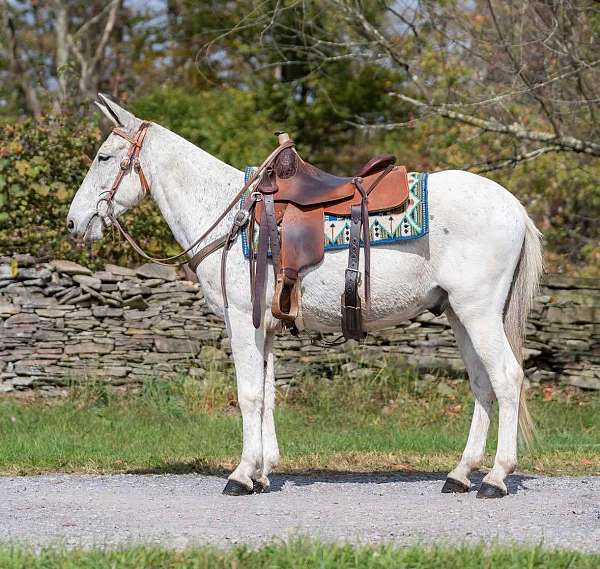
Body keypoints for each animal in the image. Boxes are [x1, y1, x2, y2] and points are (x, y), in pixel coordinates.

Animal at [68, 96, 540, 496]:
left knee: (506, 377)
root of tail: (515, 207)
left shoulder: (242, 321)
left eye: (103, 157)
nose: (74, 222)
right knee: (482, 383)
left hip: (478, 313)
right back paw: (460, 474)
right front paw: (262, 472)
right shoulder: (264, 326)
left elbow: (248, 394)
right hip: (461, 315)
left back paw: (496, 478)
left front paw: (241, 475)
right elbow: (267, 393)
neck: (230, 216)